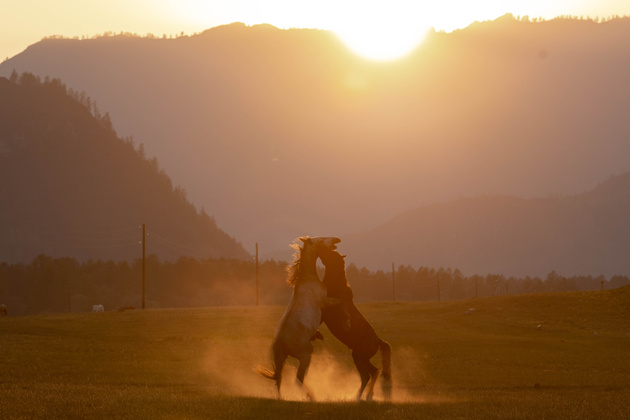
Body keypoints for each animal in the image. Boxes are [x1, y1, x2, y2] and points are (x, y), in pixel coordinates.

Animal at [256, 236, 340, 400]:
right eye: (321, 239)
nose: (336, 239)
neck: (308, 279)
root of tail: (280, 341)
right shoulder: (325, 302)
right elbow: (339, 301)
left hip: (281, 359)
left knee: (279, 379)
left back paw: (281, 398)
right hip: (306, 356)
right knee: (298, 378)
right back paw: (312, 397)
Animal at [316, 240, 396, 400]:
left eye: (331, 253)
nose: (320, 244)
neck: (336, 286)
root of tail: (378, 341)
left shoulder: (324, 311)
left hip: (359, 357)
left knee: (366, 375)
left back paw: (357, 396)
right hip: (362, 358)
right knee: (374, 371)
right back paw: (368, 395)